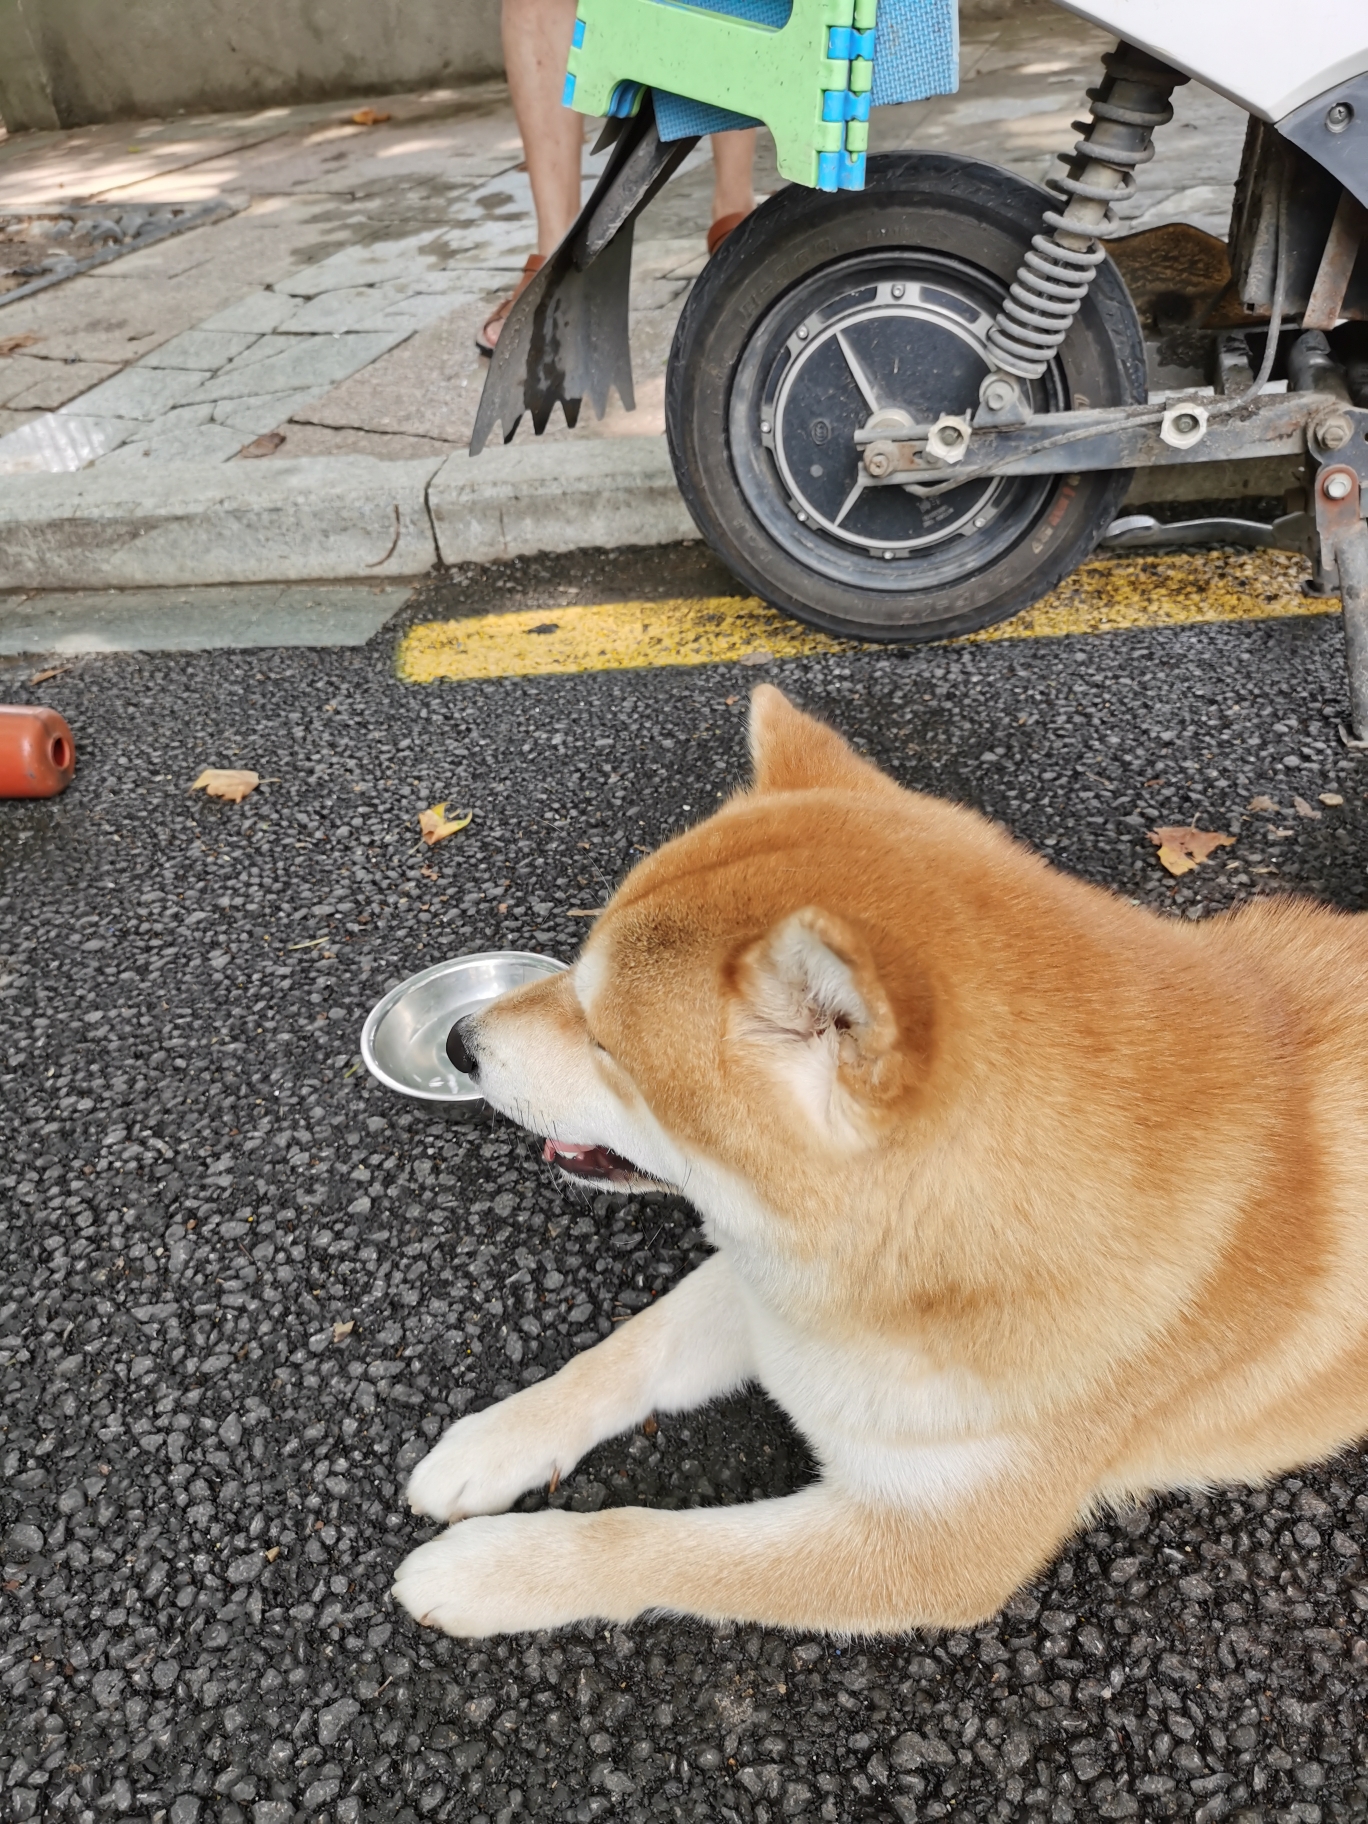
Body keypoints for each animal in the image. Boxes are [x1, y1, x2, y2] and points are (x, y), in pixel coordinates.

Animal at [390, 685, 1368, 1641]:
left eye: (605, 1045)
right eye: (572, 976)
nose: (462, 1041)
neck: (923, 1267)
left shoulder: (929, 1551)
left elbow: (646, 1542)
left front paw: (492, 1569)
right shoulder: (776, 1293)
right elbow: (628, 1352)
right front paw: (492, 1443)